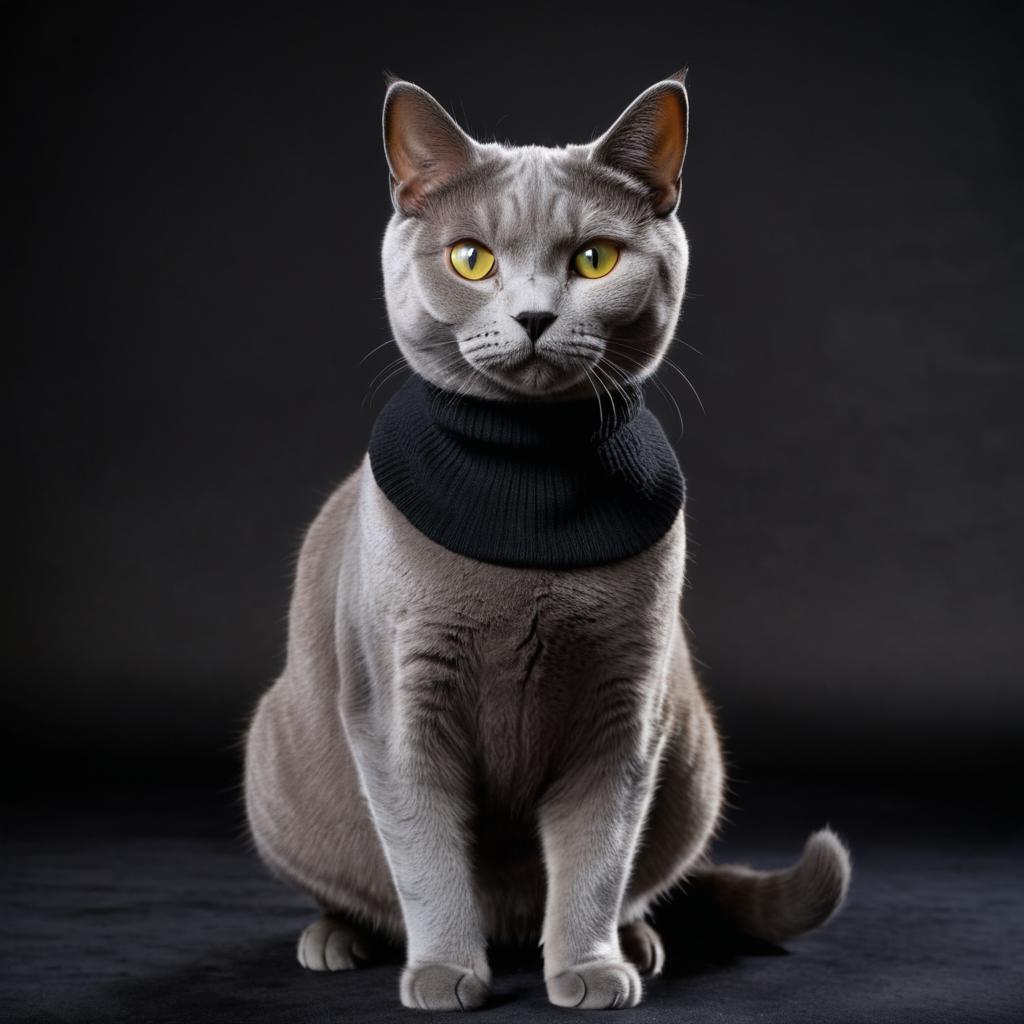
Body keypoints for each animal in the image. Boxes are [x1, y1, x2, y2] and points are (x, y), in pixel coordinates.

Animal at [243, 70, 851, 1007]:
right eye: (471, 258)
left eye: (594, 259)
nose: (532, 316)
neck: (528, 482)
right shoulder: (400, 705)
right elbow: (426, 855)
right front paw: (446, 972)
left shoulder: (624, 707)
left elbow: (598, 852)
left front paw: (589, 968)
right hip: (276, 751)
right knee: (356, 886)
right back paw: (338, 938)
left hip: (693, 750)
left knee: (636, 878)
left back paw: (637, 940)